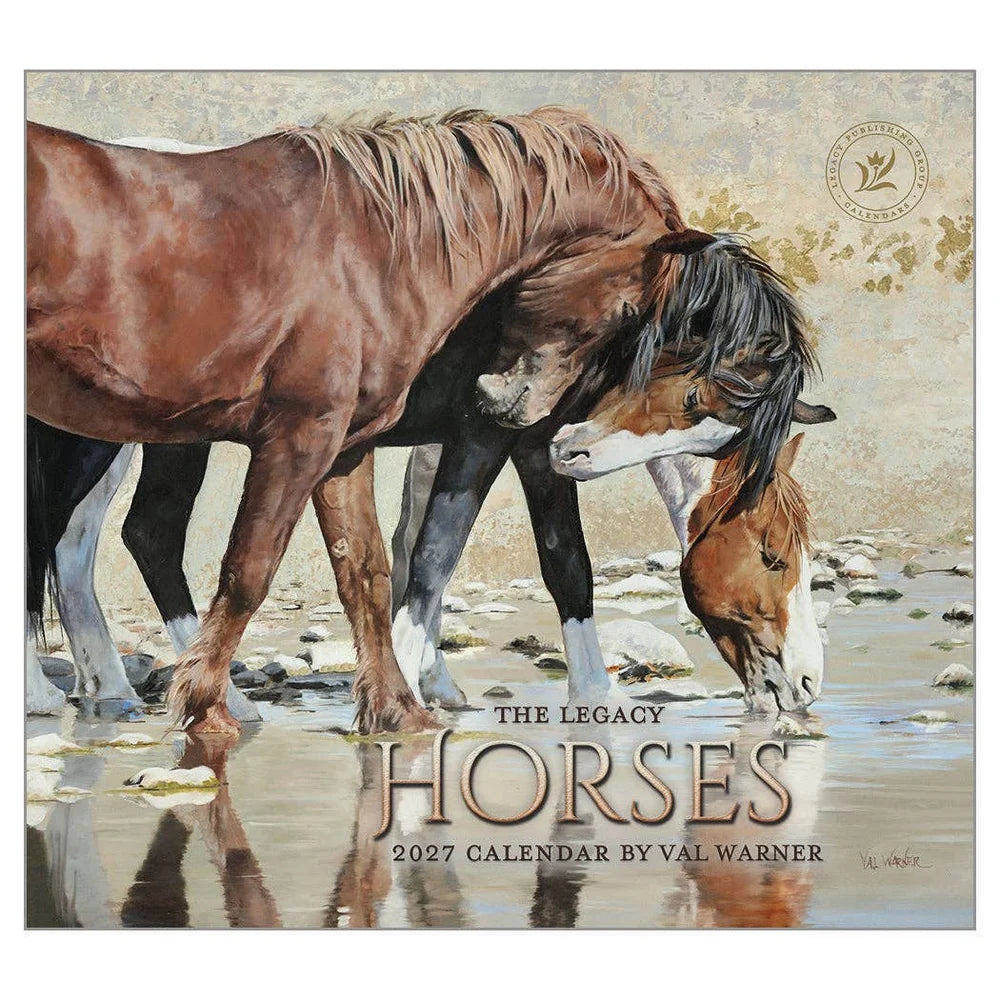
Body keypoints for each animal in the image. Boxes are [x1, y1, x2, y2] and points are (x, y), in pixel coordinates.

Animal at [28, 107, 713, 736]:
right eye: (629, 309)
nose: (511, 401)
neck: (373, 249)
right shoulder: (306, 438)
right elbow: (256, 569)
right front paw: (204, 707)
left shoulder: (346, 447)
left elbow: (370, 571)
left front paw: (397, 708)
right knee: (90, 542)